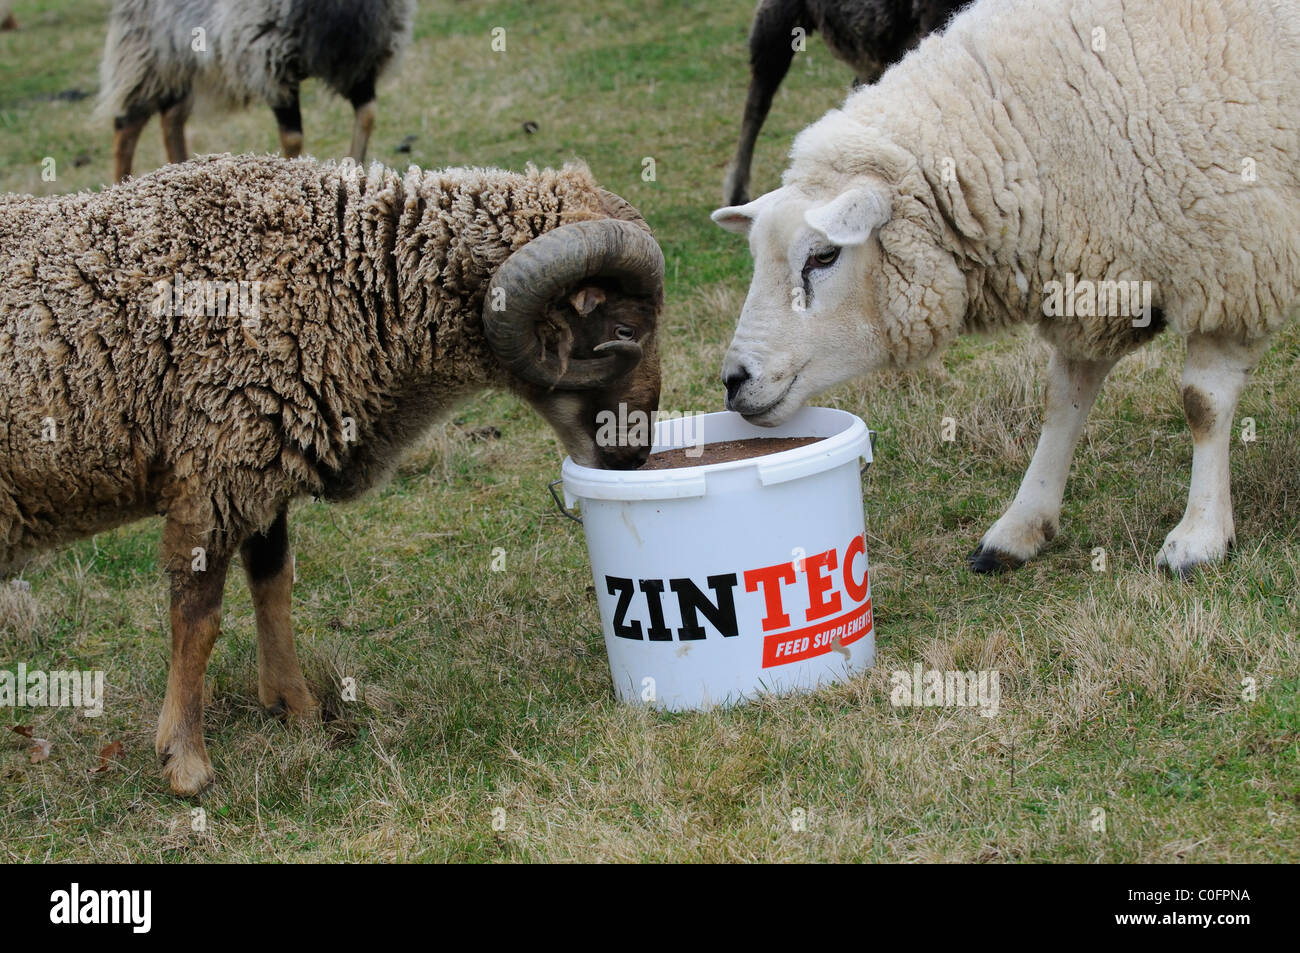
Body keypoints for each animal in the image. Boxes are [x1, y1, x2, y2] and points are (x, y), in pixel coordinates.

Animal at [0, 152, 665, 790]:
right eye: (624, 330)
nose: (634, 455)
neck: (353, 283)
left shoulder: (259, 466)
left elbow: (273, 584)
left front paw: (296, 709)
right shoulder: (216, 469)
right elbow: (198, 617)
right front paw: (186, 763)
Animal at [98, 0, 413, 180]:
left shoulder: (361, 62)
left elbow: (368, 116)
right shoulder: (270, 61)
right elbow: (293, 139)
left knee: (171, 116)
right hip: (150, 50)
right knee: (127, 123)